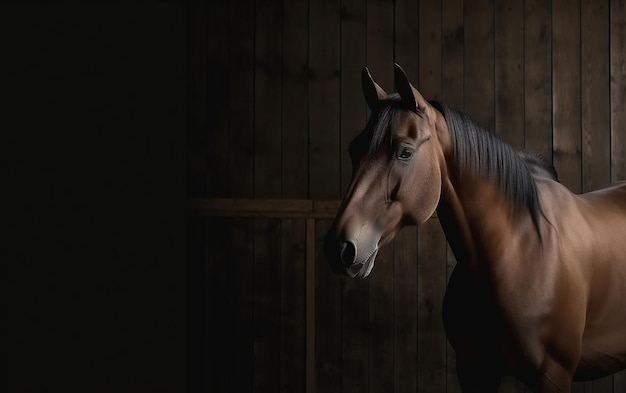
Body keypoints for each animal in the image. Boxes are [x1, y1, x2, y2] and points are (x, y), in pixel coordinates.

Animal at [324, 62, 624, 390]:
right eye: (354, 150)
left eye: (404, 151)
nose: (340, 246)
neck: (520, 252)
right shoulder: (474, 370)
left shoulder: (553, 377)